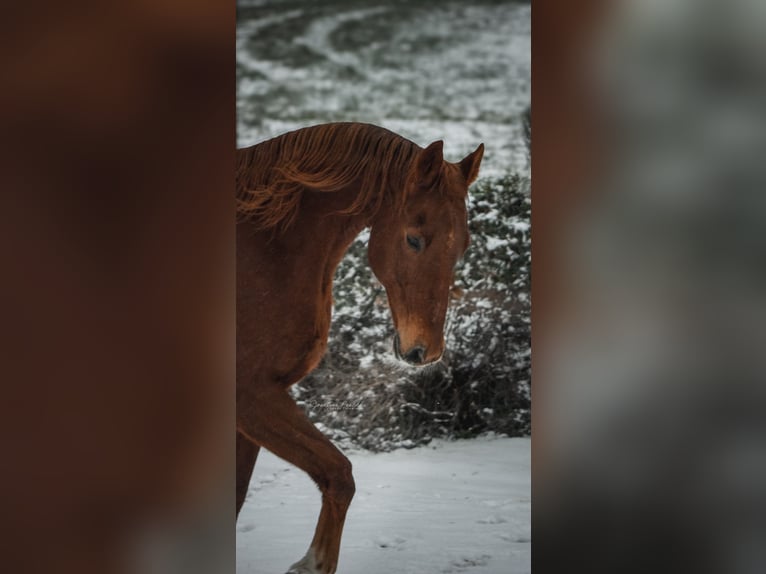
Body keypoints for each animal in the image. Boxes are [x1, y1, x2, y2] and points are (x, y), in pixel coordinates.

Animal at [237, 124, 484, 572]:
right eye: (413, 240)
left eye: (464, 247)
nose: (426, 350)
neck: (264, 250)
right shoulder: (250, 396)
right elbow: (339, 474)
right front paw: (311, 564)